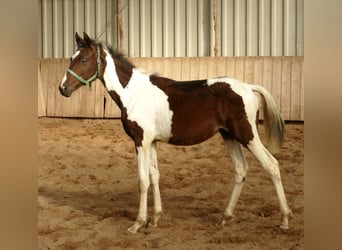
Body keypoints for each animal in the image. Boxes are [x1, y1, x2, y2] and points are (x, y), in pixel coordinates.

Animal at [58, 32, 292, 233]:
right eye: (72, 58)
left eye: (84, 60)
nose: (63, 88)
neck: (134, 93)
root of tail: (249, 87)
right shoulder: (151, 142)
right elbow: (155, 176)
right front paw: (155, 219)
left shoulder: (140, 141)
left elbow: (142, 180)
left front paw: (138, 223)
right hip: (230, 136)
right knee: (241, 170)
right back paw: (225, 217)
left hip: (247, 136)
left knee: (271, 165)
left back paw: (284, 219)